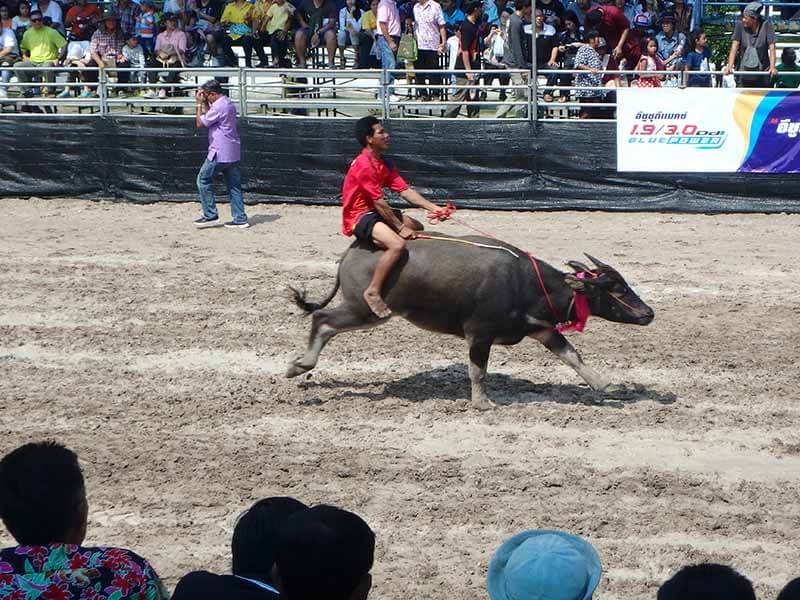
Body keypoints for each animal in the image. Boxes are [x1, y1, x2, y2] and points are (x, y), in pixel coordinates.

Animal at [290, 233, 652, 408]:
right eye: (616, 287)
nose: (649, 313)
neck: (524, 283)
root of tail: (352, 251)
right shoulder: (479, 333)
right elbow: (478, 371)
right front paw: (482, 403)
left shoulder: (543, 330)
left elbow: (573, 357)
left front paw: (605, 385)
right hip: (365, 310)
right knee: (322, 318)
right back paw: (301, 364)